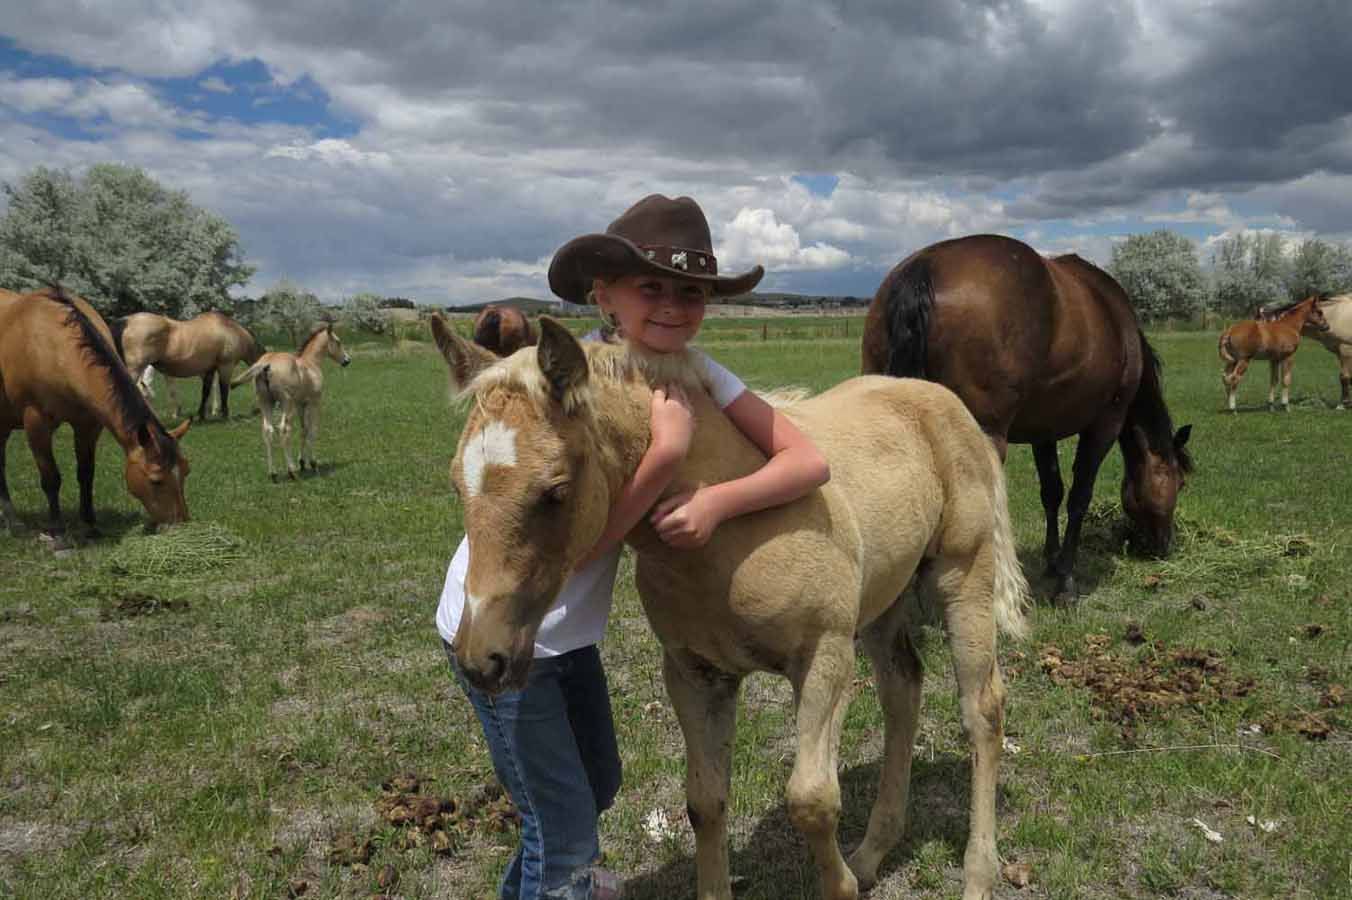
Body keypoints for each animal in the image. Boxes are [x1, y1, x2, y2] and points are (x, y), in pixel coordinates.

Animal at [0, 287, 191, 544]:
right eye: (156, 480)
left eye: (186, 471)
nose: (180, 525)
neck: (51, 345)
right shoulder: (36, 423)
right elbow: (51, 478)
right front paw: (58, 533)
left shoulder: (88, 425)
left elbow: (86, 473)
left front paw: (90, 526)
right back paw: (13, 521)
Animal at [111, 311, 264, 421]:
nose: (256, 410)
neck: (231, 330)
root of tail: (125, 321)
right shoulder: (226, 366)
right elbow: (224, 389)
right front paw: (225, 415)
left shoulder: (210, 370)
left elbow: (205, 392)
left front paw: (201, 415)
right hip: (134, 369)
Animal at [231, 323, 350, 481]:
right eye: (338, 341)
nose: (347, 360)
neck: (311, 363)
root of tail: (265, 363)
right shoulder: (314, 403)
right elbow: (312, 431)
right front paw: (313, 463)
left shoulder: (300, 405)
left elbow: (303, 430)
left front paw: (302, 462)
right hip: (286, 404)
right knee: (284, 429)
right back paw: (291, 471)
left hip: (265, 403)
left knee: (268, 430)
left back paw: (273, 473)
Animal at [430, 314, 1029, 900]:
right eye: (457, 485)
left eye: (554, 491)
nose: (481, 658)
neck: (725, 528)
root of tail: (945, 401)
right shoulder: (695, 674)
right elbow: (705, 800)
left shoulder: (826, 655)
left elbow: (812, 799)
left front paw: (840, 885)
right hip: (886, 600)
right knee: (902, 693)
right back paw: (871, 853)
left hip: (963, 577)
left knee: (982, 711)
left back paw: (978, 875)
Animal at [860, 234, 1193, 605]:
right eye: (1179, 482)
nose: (1165, 545)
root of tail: (926, 265)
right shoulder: (1105, 424)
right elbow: (1079, 496)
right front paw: (1066, 580)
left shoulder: (1043, 433)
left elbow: (1051, 491)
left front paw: (1051, 561)